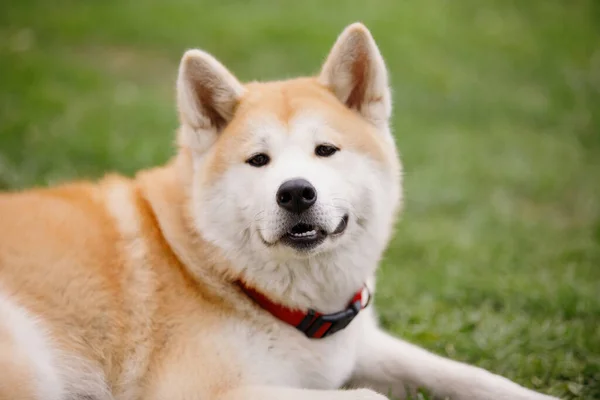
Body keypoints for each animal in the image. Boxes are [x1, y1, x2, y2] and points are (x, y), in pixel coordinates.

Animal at [0, 22, 556, 400]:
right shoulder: (204, 390)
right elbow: (370, 396)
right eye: (258, 160)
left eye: (325, 150)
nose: (295, 193)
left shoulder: (359, 344)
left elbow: (470, 375)